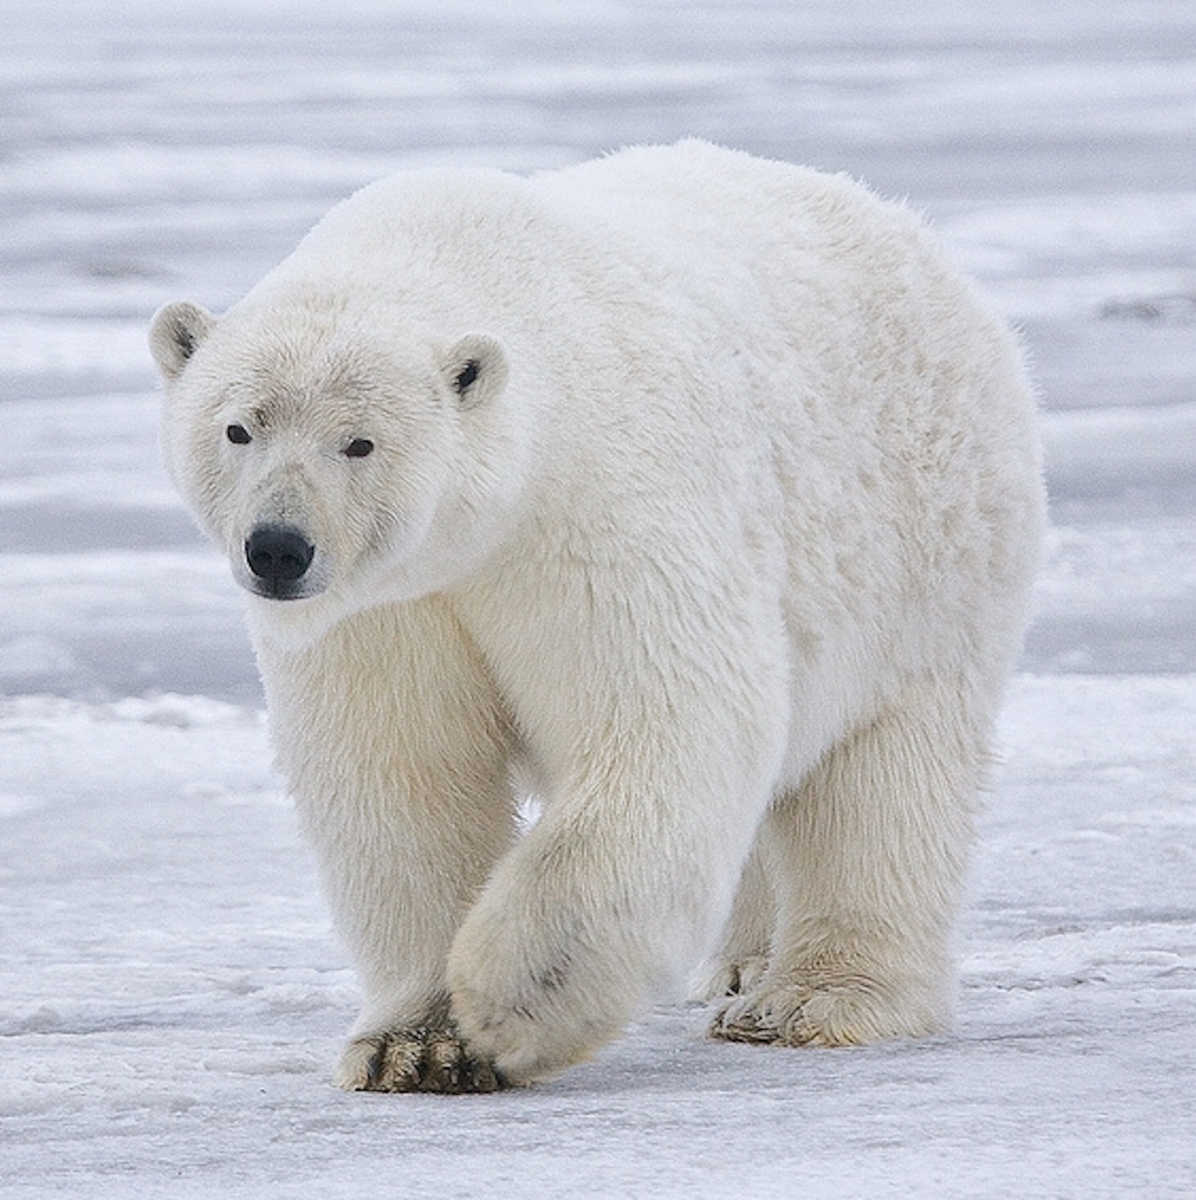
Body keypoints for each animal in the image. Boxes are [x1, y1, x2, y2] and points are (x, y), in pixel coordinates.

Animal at [151, 138, 1046, 1089]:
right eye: (238, 428)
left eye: (360, 442)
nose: (278, 548)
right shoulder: (388, 606)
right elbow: (402, 775)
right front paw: (416, 1045)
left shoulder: (594, 511)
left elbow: (666, 720)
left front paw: (509, 1001)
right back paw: (740, 964)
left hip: (926, 551)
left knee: (884, 779)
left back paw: (809, 1000)